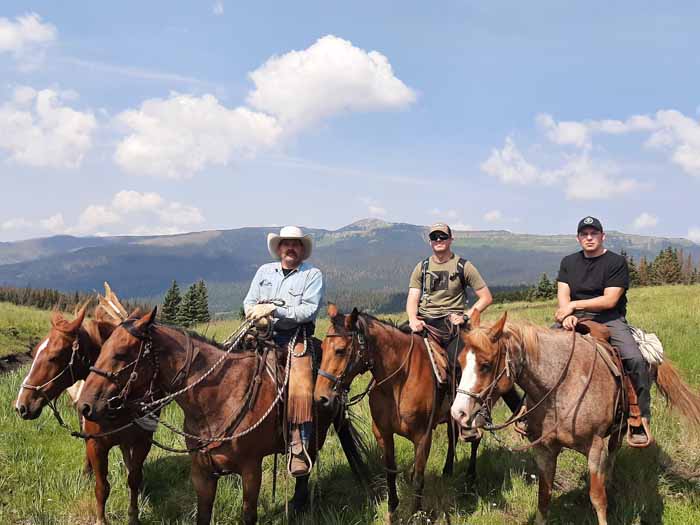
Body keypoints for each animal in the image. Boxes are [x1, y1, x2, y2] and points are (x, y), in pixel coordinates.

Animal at [13, 300, 156, 524]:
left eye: (54, 357)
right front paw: (101, 519)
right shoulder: (96, 445)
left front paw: (134, 515)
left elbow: (134, 478)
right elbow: (102, 487)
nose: (21, 405)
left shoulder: (143, 441)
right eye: (34, 352)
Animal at [78, 308, 366, 524]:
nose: (84, 406)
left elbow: (248, 515)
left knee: (306, 464)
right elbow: (203, 514)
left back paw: (298, 503)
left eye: (120, 354)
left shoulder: (251, 469)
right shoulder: (202, 471)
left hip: (316, 431)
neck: (218, 398)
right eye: (101, 349)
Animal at [314, 304, 482, 516]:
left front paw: (417, 513)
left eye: (340, 350)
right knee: (452, 437)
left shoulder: (423, 437)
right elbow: (390, 471)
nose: (321, 398)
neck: (397, 381)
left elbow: (418, 477)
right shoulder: (383, 433)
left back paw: (471, 476)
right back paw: (448, 470)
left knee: (476, 439)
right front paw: (392, 507)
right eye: (321, 348)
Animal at [448, 312, 700, 524]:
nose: (458, 413)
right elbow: (544, 497)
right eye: (459, 363)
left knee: (614, 449)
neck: (560, 387)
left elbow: (598, 498)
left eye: (486, 365)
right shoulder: (544, 450)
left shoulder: (595, 448)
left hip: (620, 426)